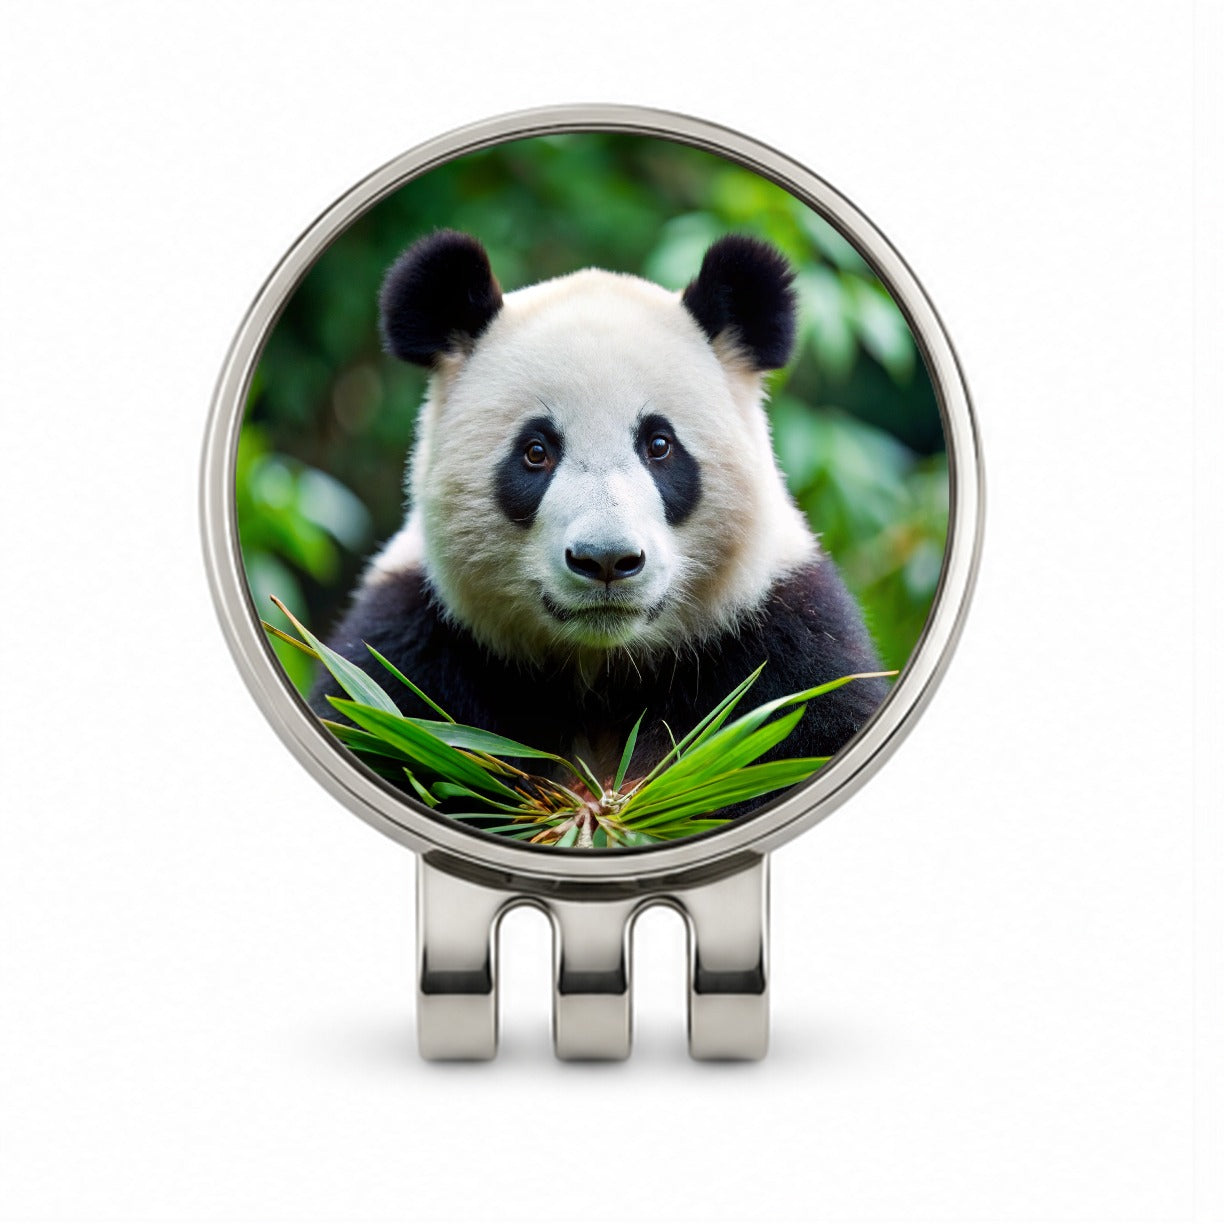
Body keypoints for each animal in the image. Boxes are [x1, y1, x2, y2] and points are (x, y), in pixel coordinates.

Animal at [310, 229, 890, 802]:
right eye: (536, 452)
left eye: (659, 445)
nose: (606, 560)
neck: (602, 672)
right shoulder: (415, 649)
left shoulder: (782, 642)